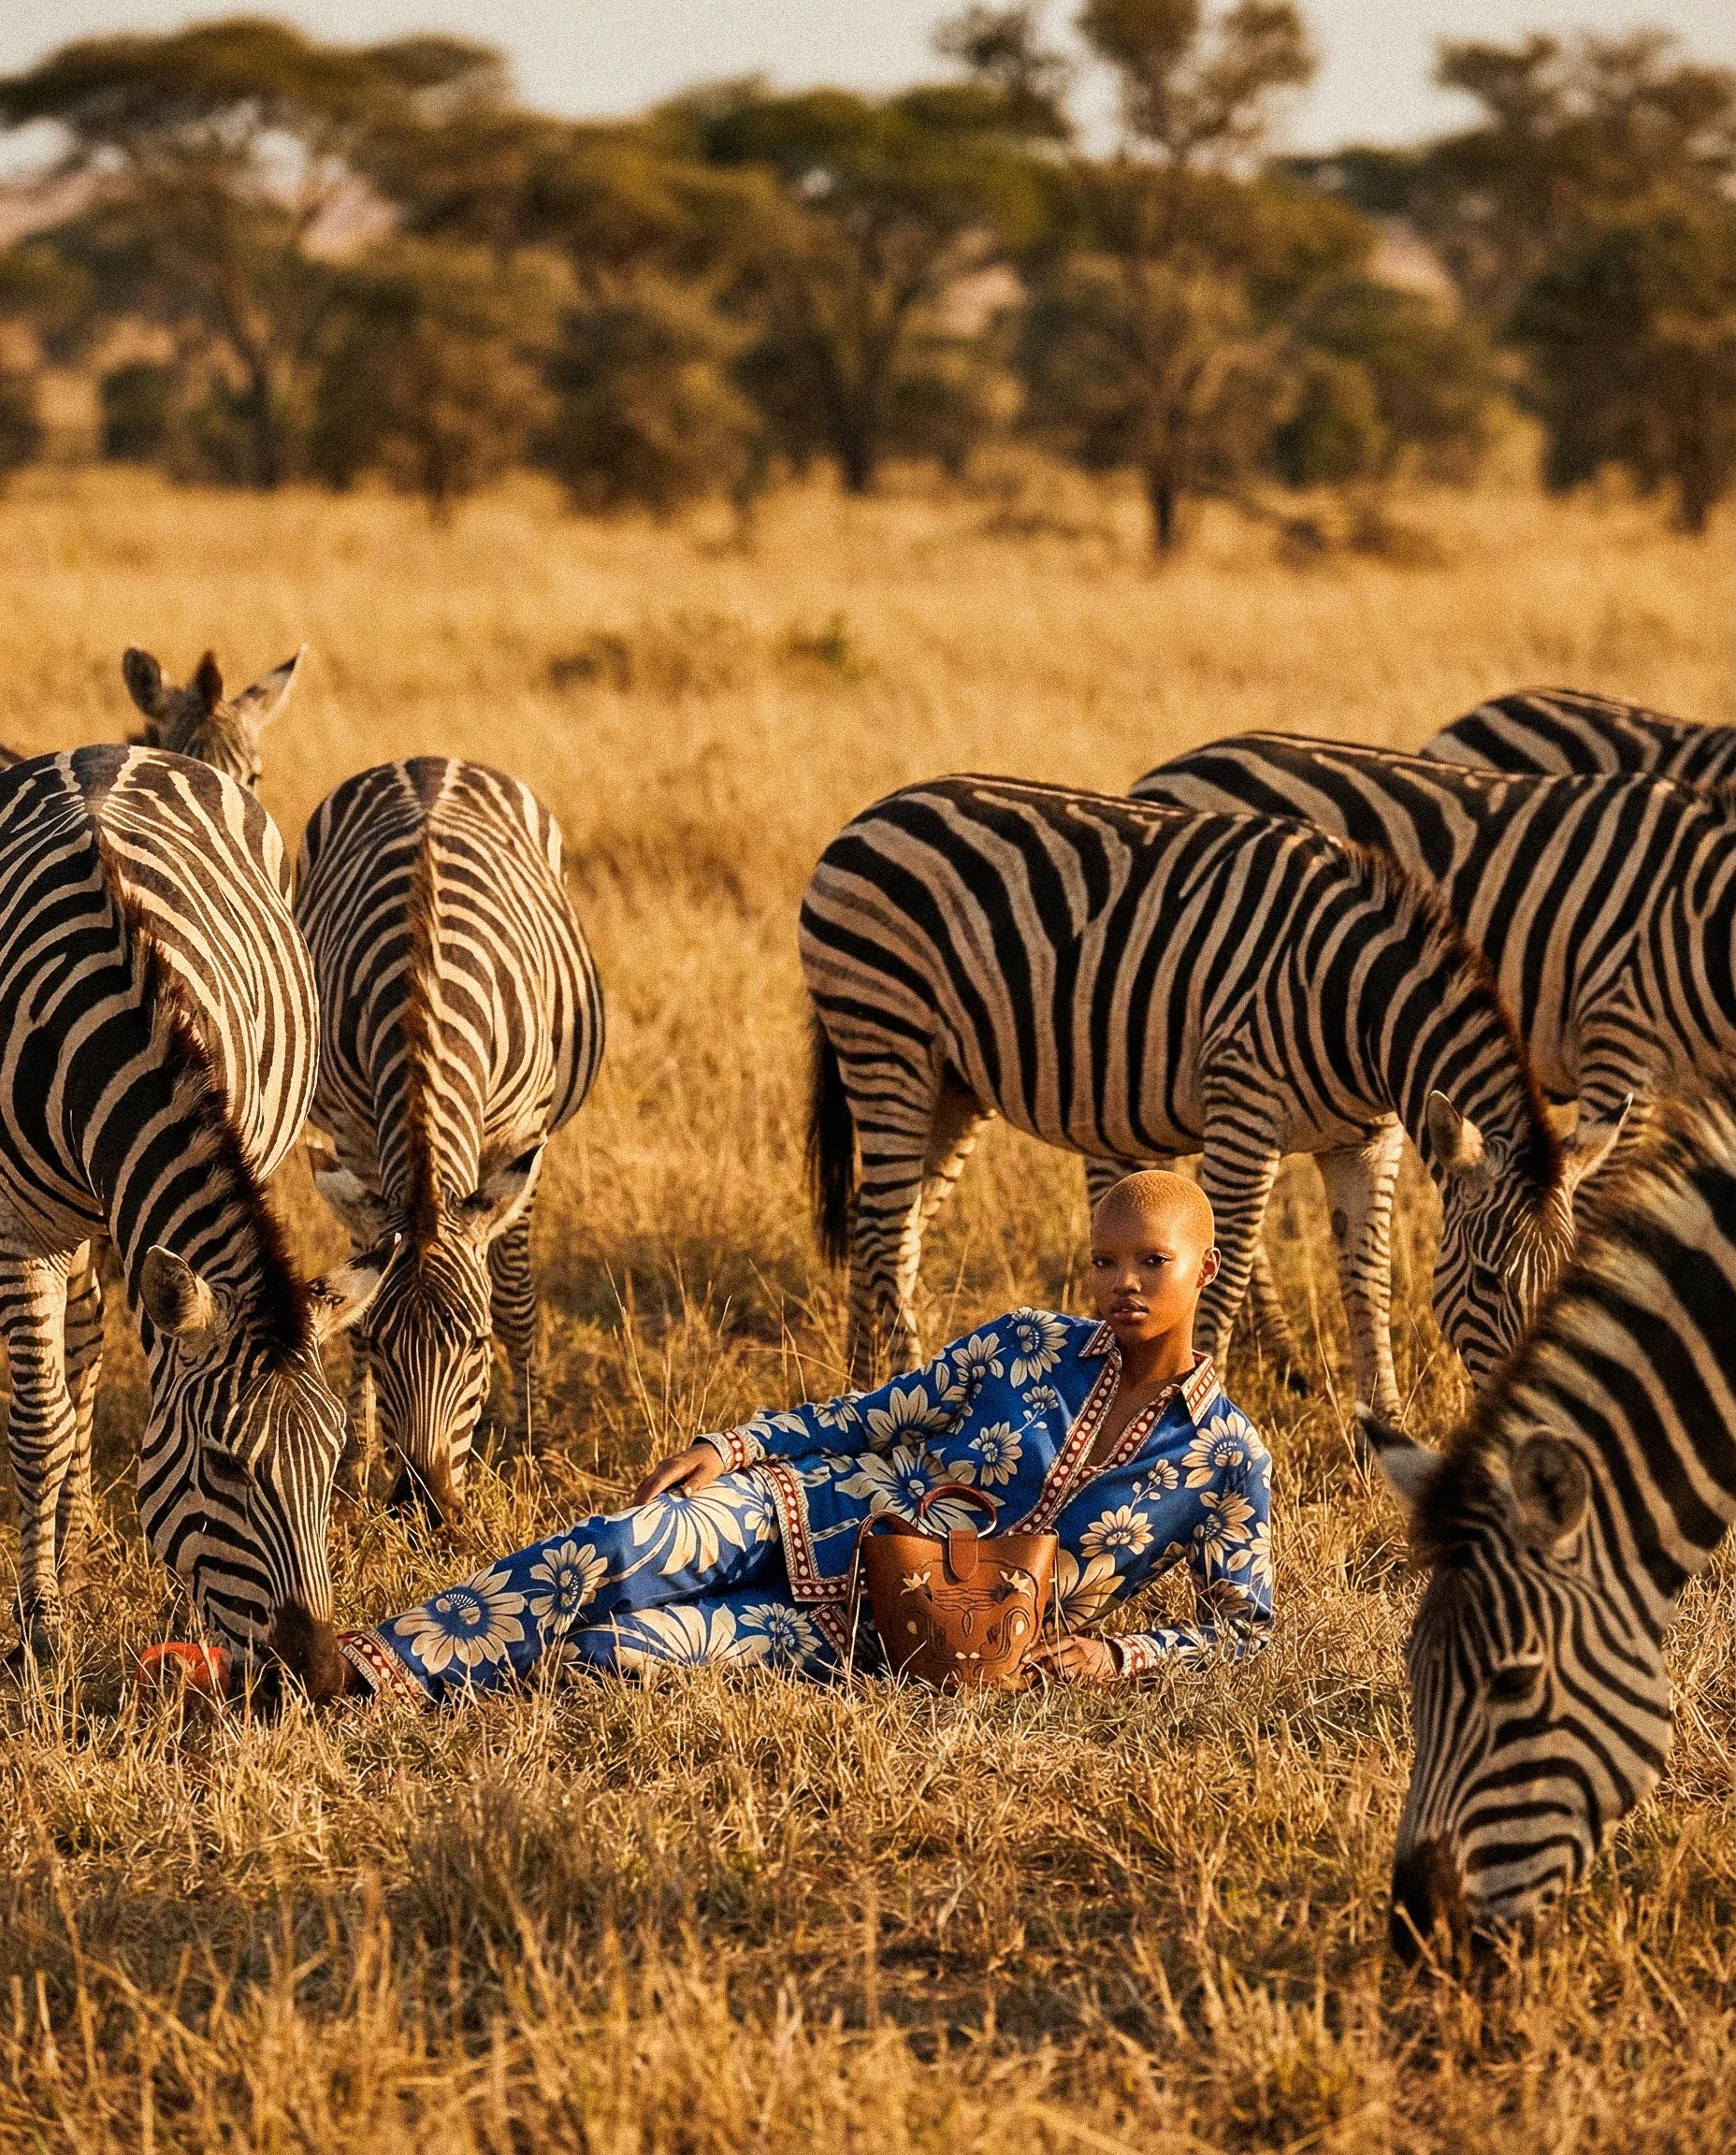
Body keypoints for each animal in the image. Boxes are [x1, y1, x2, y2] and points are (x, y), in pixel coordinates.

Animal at [0, 746, 391, 1692]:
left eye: (334, 1460)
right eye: (222, 1465)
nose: (319, 1678)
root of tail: (106, 750)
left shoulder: (228, 1137)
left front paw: (179, 1614)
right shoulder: (20, 1226)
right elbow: (39, 1429)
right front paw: (38, 1636)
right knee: (72, 1369)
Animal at [293, 759, 603, 1526]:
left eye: (475, 1342)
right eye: (381, 1345)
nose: (425, 1508)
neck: (421, 995)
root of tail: (429, 762)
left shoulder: (519, 1134)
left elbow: (517, 1296)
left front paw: (532, 1451)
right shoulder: (354, 1139)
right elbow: (356, 1294)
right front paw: (353, 1471)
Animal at [801, 774, 1599, 1411]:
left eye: (1566, 1287)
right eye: (1489, 1282)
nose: (1540, 1418)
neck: (1358, 1006)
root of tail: (875, 810)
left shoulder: (1369, 1141)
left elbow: (1367, 1280)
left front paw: (1386, 1430)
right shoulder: (1245, 1104)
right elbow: (1224, 1274)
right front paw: (1193, 1403)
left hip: (954, 1083)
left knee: (878, 1225)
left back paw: (862, 1386)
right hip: (886, 1041)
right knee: (888, 1232)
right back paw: (900, 1393)